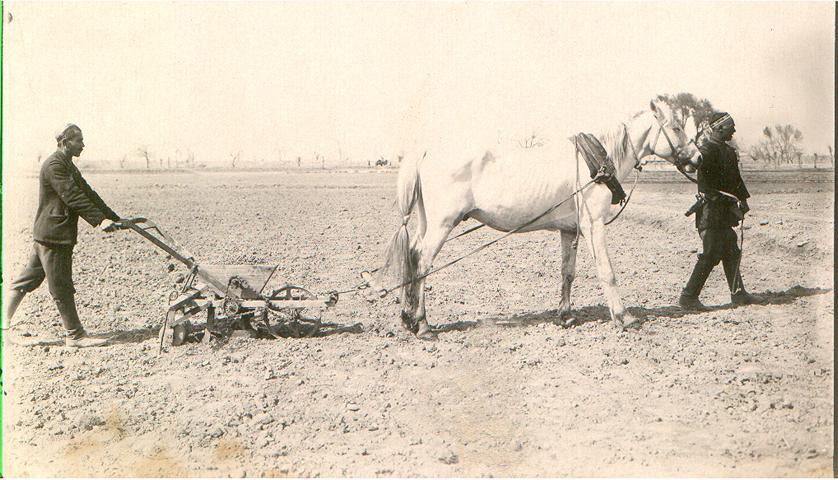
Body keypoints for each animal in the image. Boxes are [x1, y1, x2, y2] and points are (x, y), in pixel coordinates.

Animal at [377, 100, 699, 339]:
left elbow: (567, 273)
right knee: (422, 262)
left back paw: (408, 317)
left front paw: (566, 315)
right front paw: (623, 317)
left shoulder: (570, 230)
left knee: (413, 255)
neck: (594, 164)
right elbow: (607, 272)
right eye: (675, 127)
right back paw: (422, 325)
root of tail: (426, 151)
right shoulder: (593, 225)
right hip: (443, 224)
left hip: (427, 222)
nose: (696, 158)